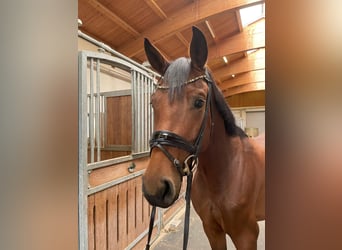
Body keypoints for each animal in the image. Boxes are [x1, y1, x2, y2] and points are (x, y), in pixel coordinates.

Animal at [142, 26, 264, 249]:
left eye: (199, 102)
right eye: (153, 103)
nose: (155, 187)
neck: (227, 173)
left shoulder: (246, 235)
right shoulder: (212, 231)